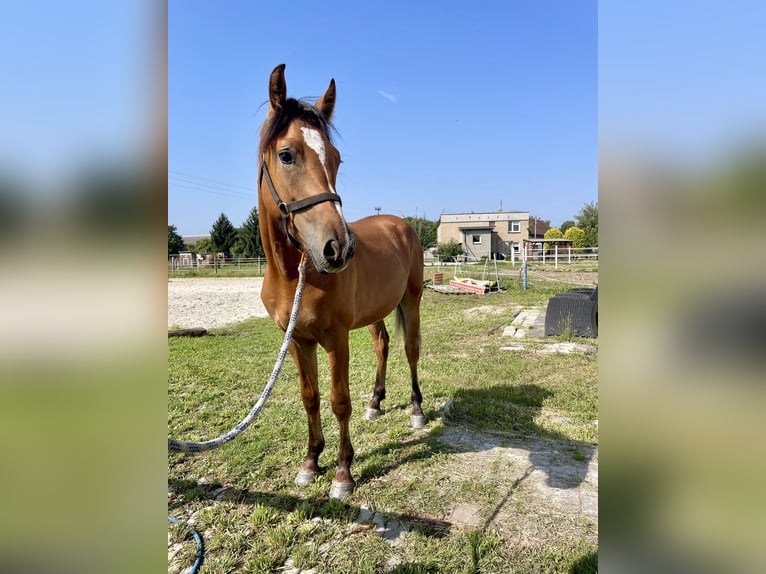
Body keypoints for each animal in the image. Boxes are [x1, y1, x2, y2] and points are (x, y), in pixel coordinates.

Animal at [258, 65, 426, 502]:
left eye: (335, 158)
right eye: (286, 155)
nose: (339, 248)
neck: (295, 276)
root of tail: (400, 224)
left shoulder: (336, 338)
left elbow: (338, 401)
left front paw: (343, 472)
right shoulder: (297, 341)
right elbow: (311, 398)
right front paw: (310, 461)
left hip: (411, 301)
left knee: (411, 350)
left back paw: (417, 411)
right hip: (375, 312)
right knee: (383, 344)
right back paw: (376, 403)